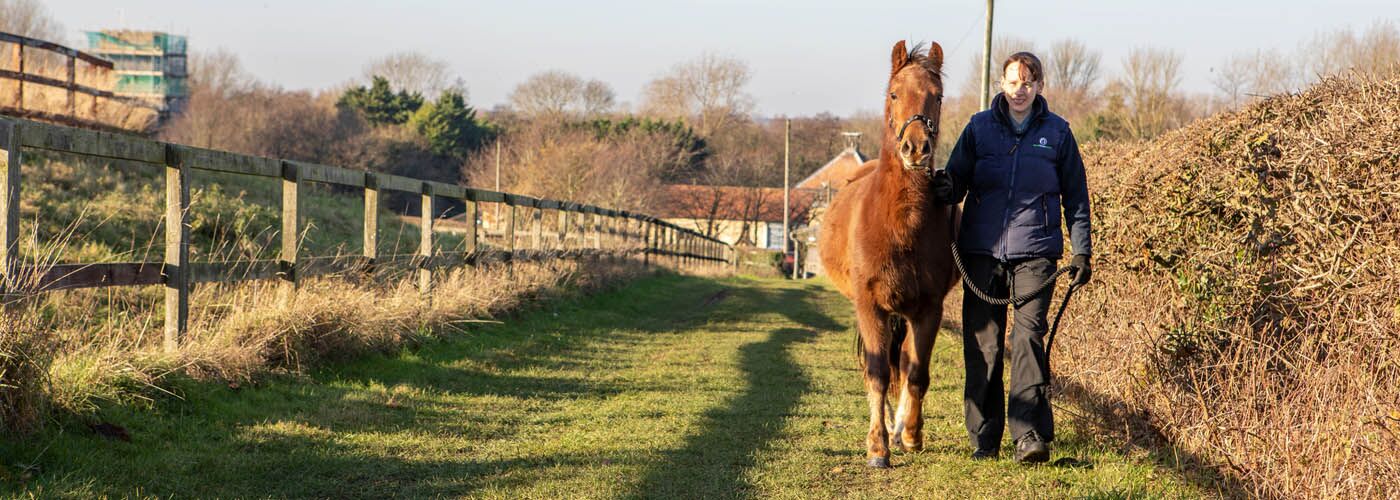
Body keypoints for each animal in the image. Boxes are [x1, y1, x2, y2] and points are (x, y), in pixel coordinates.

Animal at [817, 39, 957, 467]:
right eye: (894, 93)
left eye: (938, 96)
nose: (916, 148)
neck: (899, 226)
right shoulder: (870, 307)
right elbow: (878, 374)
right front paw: (877, 448)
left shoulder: (929, 309)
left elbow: (917, 372)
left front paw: (909, 435)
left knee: (908, 362)